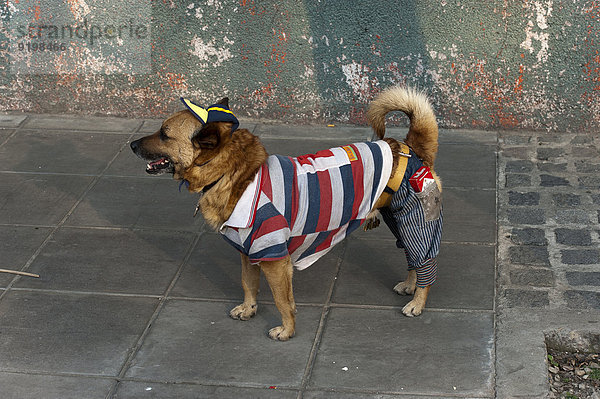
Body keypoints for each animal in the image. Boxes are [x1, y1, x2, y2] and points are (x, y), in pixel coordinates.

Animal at [131, 86, 440, 340]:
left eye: (164, 134)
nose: (132, 145)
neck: (234, 174)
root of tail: (410, 148)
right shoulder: (248, 253)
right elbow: (248, 284)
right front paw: (248, 308)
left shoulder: (274, 259)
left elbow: (282, 300)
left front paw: (287, 330)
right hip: (400, 222)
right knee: (412, 258)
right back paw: (410, 286)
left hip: (417, 221)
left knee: (425, 260)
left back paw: (417, 302)